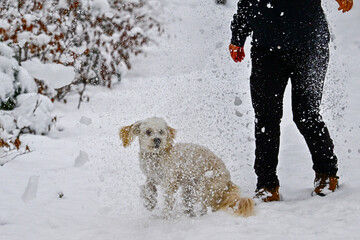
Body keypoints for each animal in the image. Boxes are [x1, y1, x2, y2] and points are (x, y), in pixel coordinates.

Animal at [119, 116, 255, 218]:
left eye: (161, 132)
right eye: (148, 131)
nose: (157, 140)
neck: (156, 157)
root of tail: (228, 178)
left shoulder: (170, 182)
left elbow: (168, 201)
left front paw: (165, 217)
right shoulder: (151, 177)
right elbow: (147, 188)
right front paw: (149, 202)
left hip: (205, 186)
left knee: (211, 205)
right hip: (189, 188)